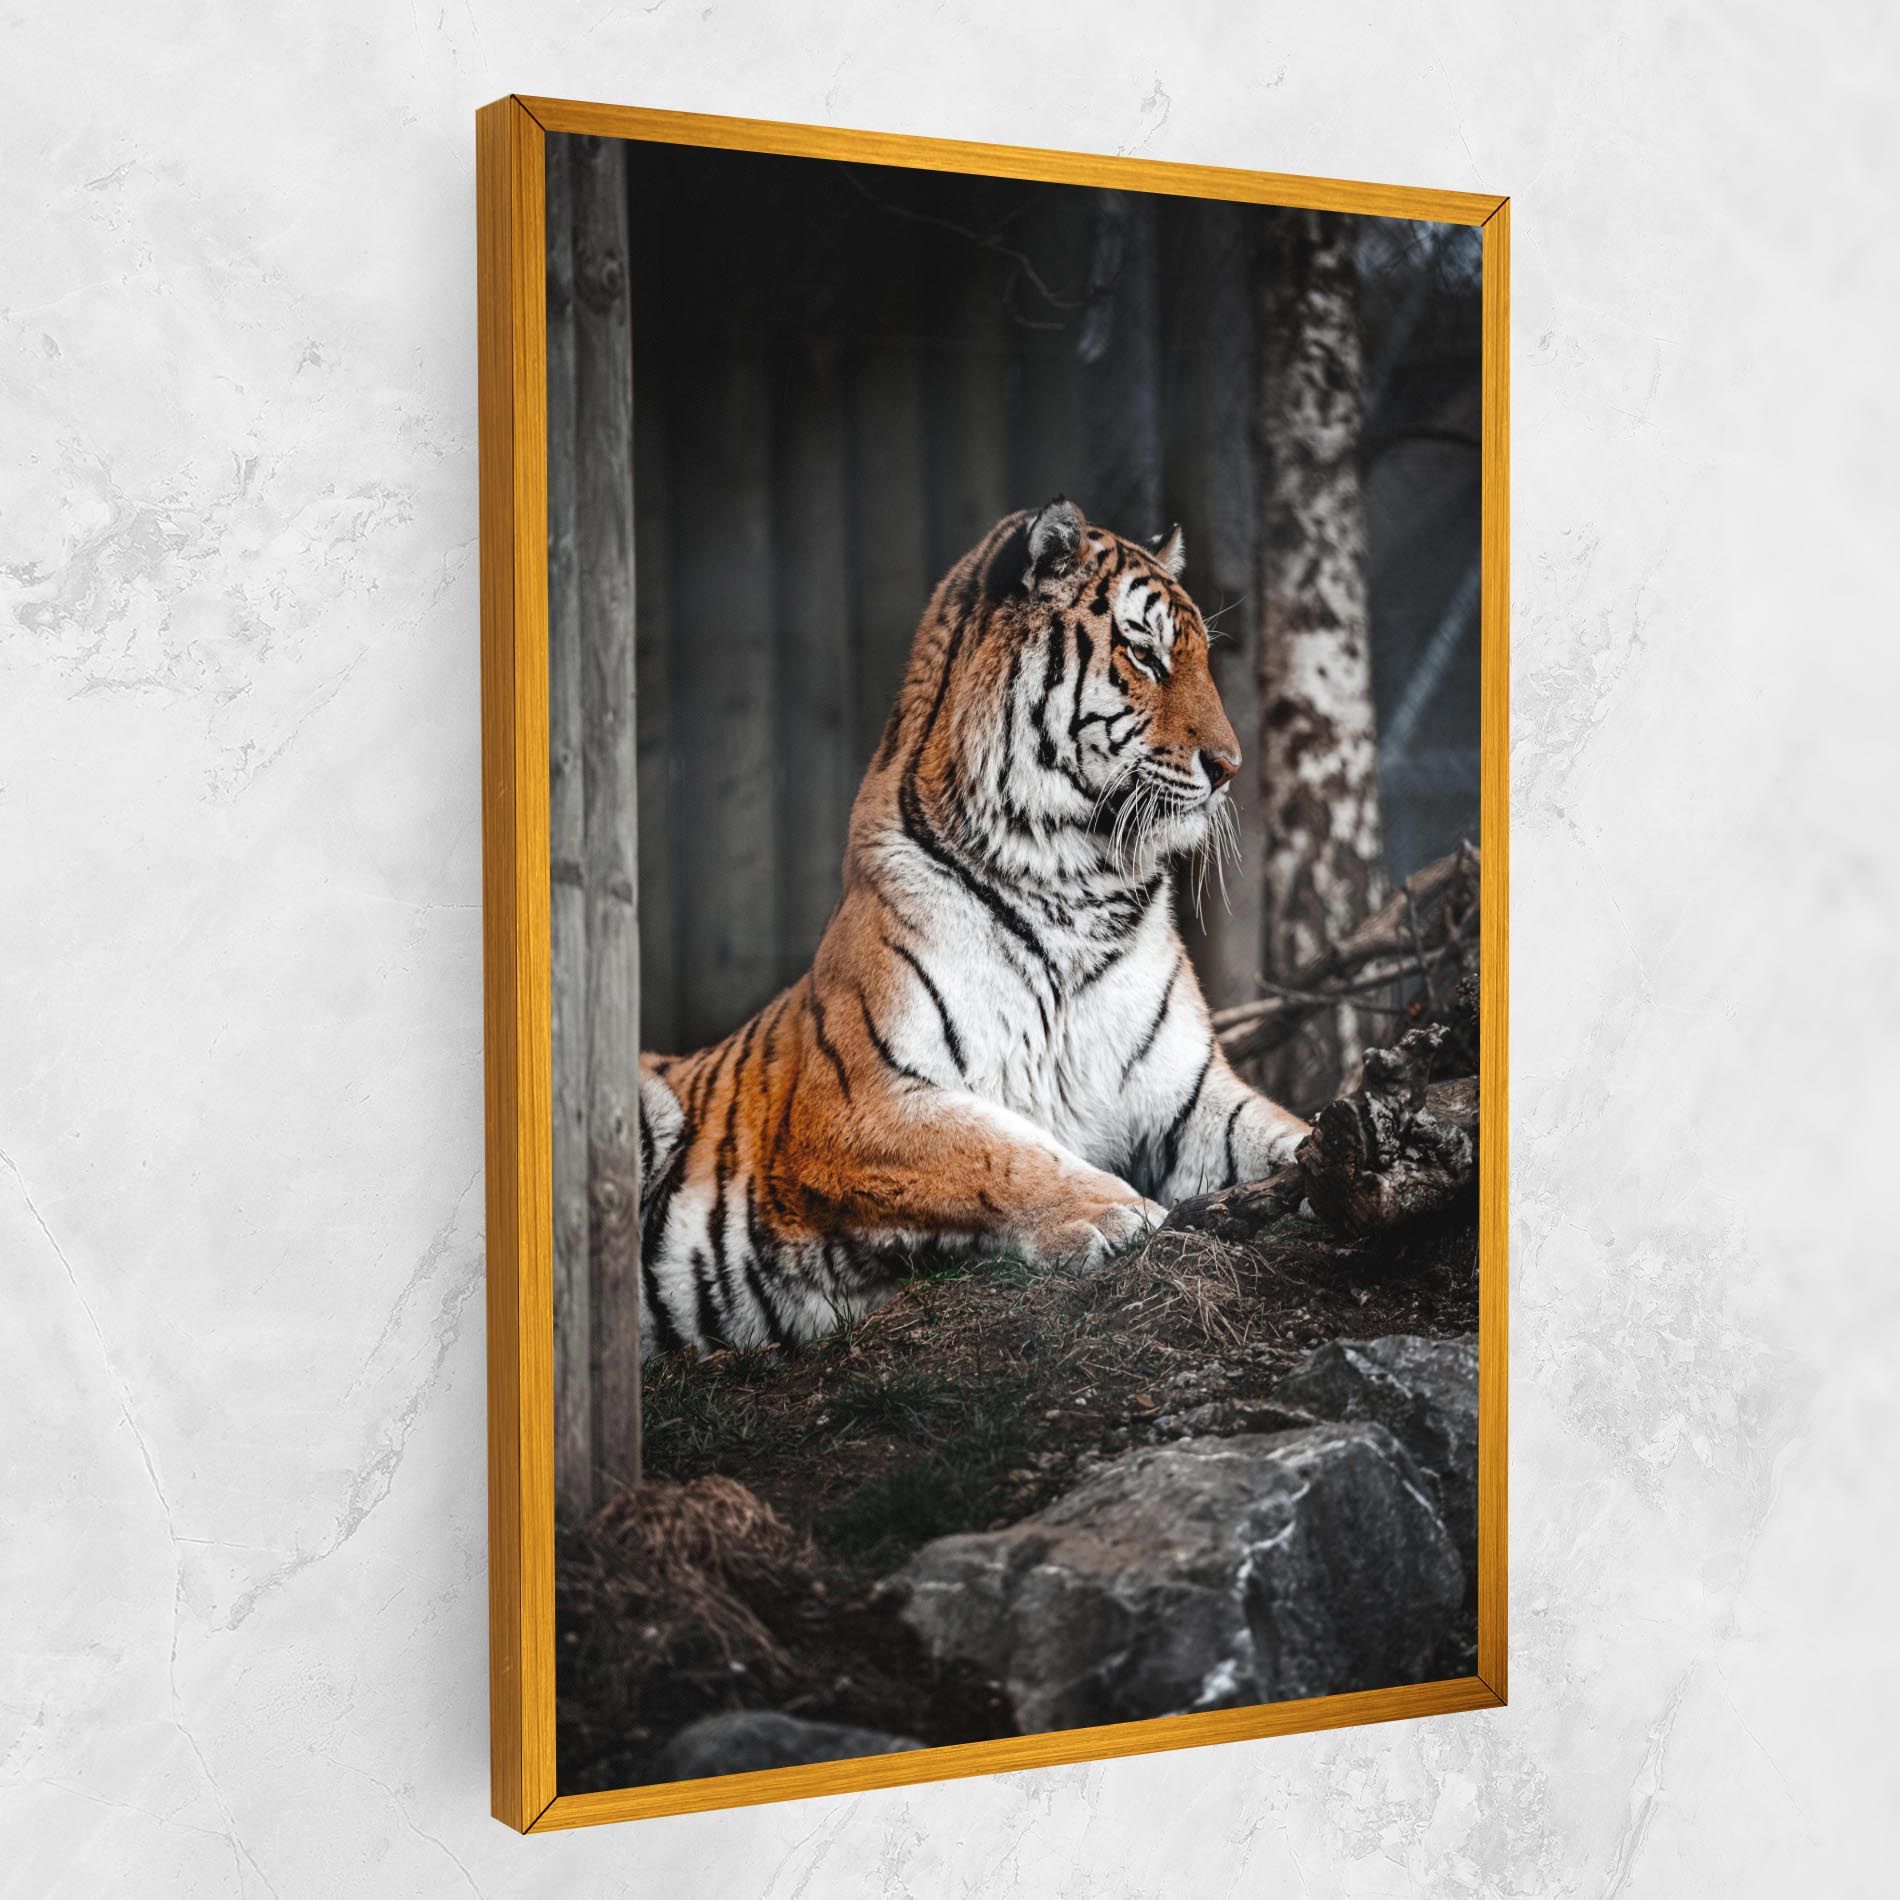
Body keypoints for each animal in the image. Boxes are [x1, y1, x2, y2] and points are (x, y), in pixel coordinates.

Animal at [635, 498, 1309, 1356]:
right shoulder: (856, 1102)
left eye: (1199, 660)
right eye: (1144, 653)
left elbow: (1278, 1129)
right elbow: (996, 1148)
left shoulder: (1190, 1097)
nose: (1229, 767)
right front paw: (1115, 1212)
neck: (1078, 886)